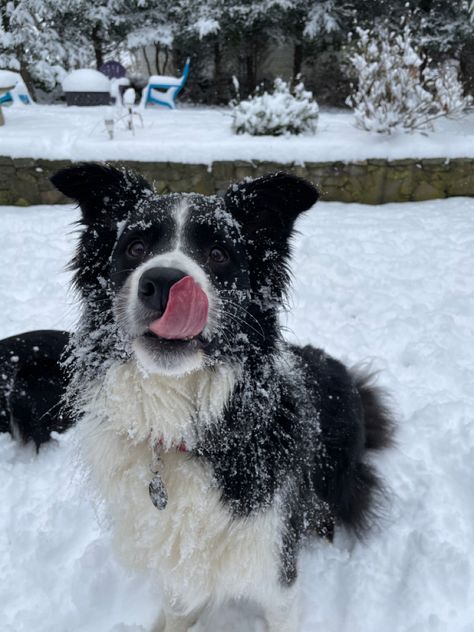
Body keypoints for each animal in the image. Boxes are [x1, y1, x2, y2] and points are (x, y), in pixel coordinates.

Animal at [50, 164, 394, 632]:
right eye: (135, 247)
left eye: (217, 254)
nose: (162, 282)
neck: (181, 428)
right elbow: (178, 607)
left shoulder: (275, 568)